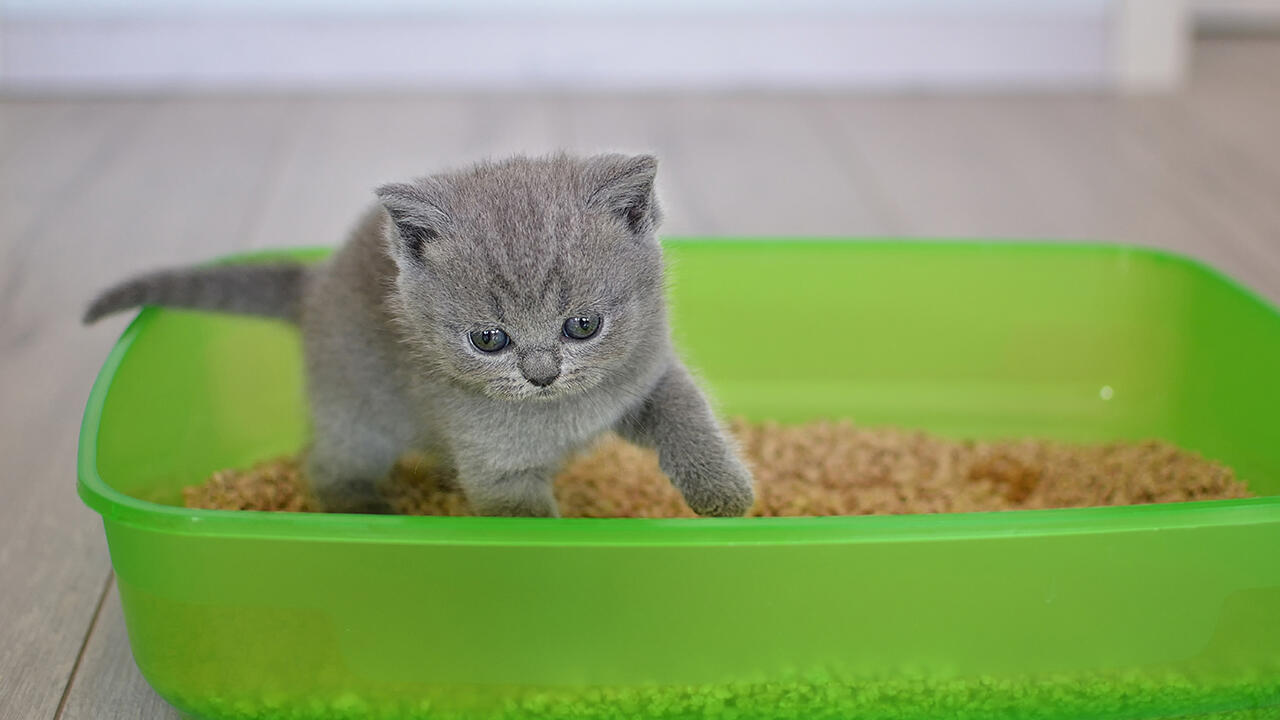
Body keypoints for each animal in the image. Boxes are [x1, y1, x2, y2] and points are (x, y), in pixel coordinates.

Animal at [85, 154, 757, 515]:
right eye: (489, 340)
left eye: (583, 326)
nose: (542, 373)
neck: (563, 414)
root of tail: (316, 280)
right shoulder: (497, 472)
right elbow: (530, 518)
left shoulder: (646, 374)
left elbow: (687, 412)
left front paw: (724, 493)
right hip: (359, 414)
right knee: (325, 465)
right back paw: (366, 510)